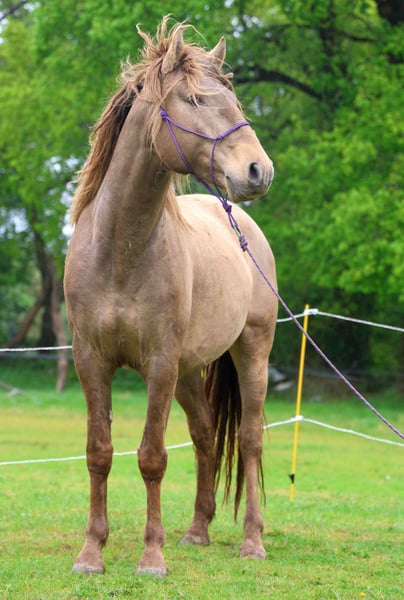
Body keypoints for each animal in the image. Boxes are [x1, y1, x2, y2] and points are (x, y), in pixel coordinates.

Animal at [64, 17, 277, 577]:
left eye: (234, 101)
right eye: (196, 99)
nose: (259, 171)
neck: (121, 249)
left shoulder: (158, 363)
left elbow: (152, 457)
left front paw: (151, 557)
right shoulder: (91, 360)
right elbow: (99, 452)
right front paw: (91, 553)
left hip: (251, 351)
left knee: (249, 439)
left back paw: (252, 542)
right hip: (188, 371)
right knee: (204, 435)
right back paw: (198, 530)